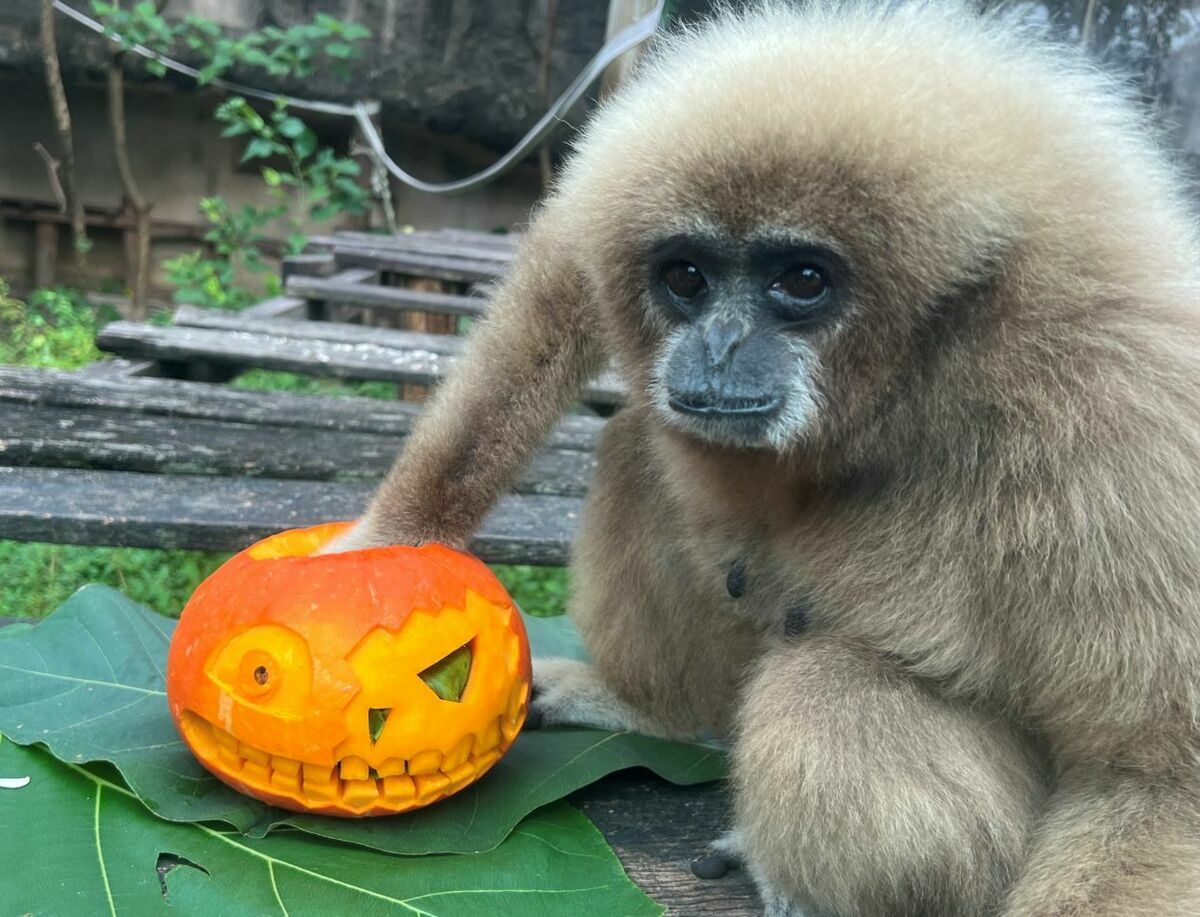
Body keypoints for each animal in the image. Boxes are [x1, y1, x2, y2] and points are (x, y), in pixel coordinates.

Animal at [328, 2, 1200, 915]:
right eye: (687, 277)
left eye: (801, 280)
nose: (719, 345)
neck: (927, 368)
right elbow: (563, 274)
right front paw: (384, 545)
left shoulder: (1125, 416)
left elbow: (1154, 777)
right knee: (637, 447)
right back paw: (654, 710)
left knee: (829, 689)